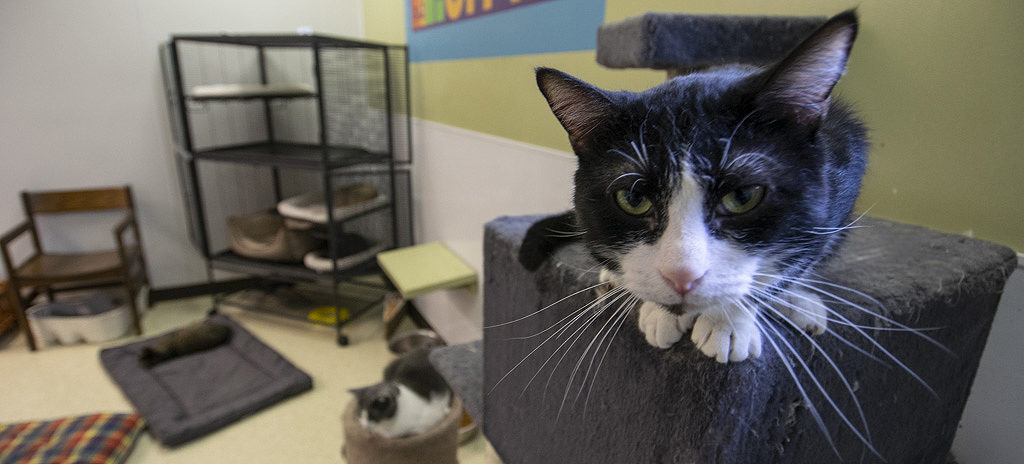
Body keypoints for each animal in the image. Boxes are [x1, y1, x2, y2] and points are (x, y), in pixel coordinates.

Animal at [524, 9, 868, 362]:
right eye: (633, 198)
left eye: (743, 196)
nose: (682, 276)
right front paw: (658, 312)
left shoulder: (845, 170)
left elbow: (798, 256)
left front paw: (726, 322)